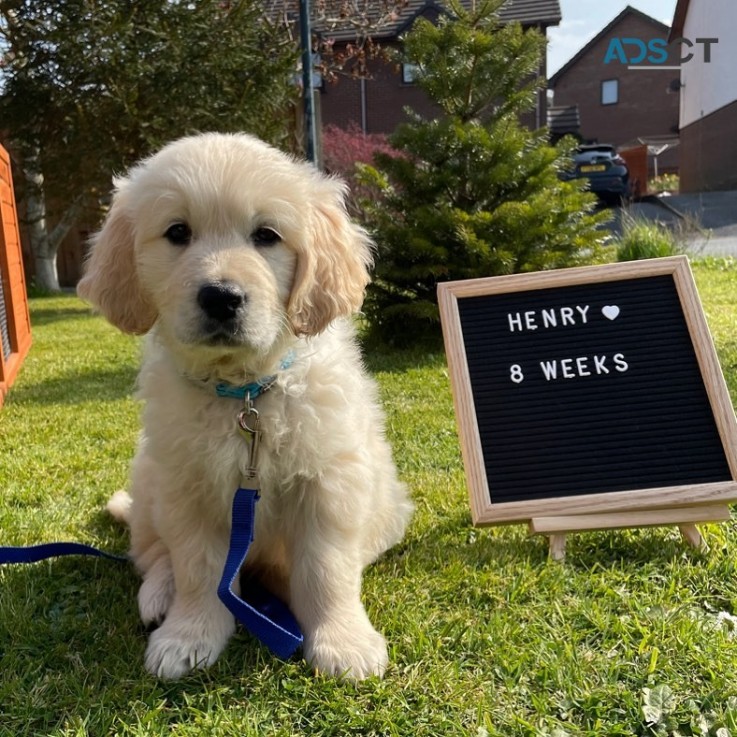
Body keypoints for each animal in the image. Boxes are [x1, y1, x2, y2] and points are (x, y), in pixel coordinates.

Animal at [80, 131, 414, 680]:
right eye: (177, 232)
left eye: (266, 235)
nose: (221, 296)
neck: (246, 392)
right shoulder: (188, 485)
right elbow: (197, 568)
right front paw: (189, 636)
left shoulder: (331, 483)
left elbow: (327, 569)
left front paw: (343, 641)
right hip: (150, 479)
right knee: (150, 553)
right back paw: (160, 596)